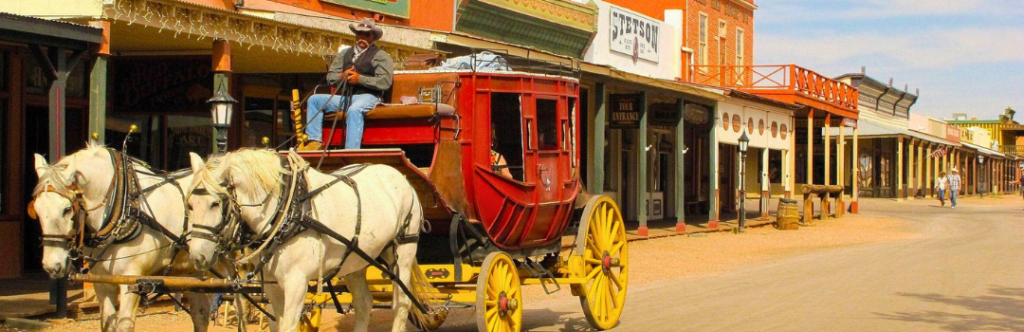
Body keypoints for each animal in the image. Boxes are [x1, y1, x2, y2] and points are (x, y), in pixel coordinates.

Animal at [33, 144, 212, 332]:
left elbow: (124, 326)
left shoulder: (131, 281)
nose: (52, 266)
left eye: (67, 209)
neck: (124, 206)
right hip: (192, 272)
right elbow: (107, 324)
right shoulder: (102, 283)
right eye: (36, 209)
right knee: (201, 314)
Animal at [186, 149, 421, 332]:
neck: (287, 211)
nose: (197, 256)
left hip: (403, 251)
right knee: (364, 304)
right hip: (356, 260)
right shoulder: (272, 285)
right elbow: (276, 324)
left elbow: (289, 325)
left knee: (401, 304)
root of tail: (400, 176)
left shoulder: (296, 282)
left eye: (215, 203)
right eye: (189, 205)